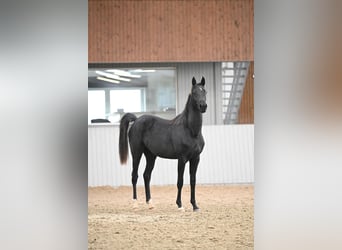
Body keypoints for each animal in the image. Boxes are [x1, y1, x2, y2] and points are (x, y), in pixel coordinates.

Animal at [119, 76, 207, 211]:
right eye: (194, 92)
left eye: (205, 92)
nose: (203, 106)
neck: (191, 130)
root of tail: (136, 120)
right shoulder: (182, 159)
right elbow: (180, 181)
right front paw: (180, 205)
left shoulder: (196, 158)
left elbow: (193, 181)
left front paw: (195, 205)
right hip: (137, 153)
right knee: (134, 176)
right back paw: (135, 203)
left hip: (151, 155)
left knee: (146, 175)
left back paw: (150, 203)